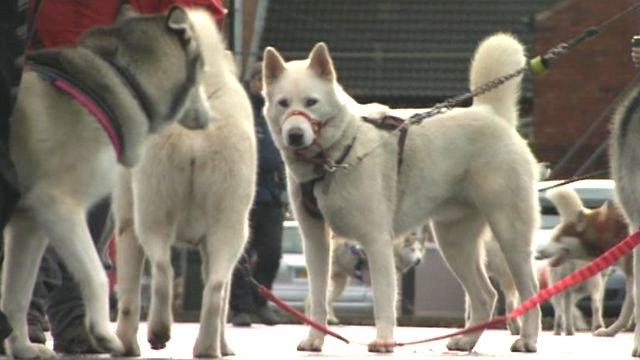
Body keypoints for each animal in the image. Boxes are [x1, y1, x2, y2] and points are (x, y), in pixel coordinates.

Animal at [112, 9, 255, 360]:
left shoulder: (125, 223)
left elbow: (128, 295)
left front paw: (125, 345)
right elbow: (222, 293)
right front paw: (225, 347)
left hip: (152, 211)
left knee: (163, 270)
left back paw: (158, 332)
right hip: (231, 224)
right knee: (215, 288)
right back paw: (207, 348)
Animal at [264, 32, 540, 352]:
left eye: (311, 102)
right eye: (283, 103)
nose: (295, 135)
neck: (338, 153)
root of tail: (491, 114)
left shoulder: (376, 241)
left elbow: (383, 299)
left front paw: (384, 340)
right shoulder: (315, 241)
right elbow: (317, 299)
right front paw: (314, 339)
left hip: (510, 238)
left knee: (529, 290)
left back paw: (527, 339)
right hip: (454, 243)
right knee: (485, 295)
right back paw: (466, 340)